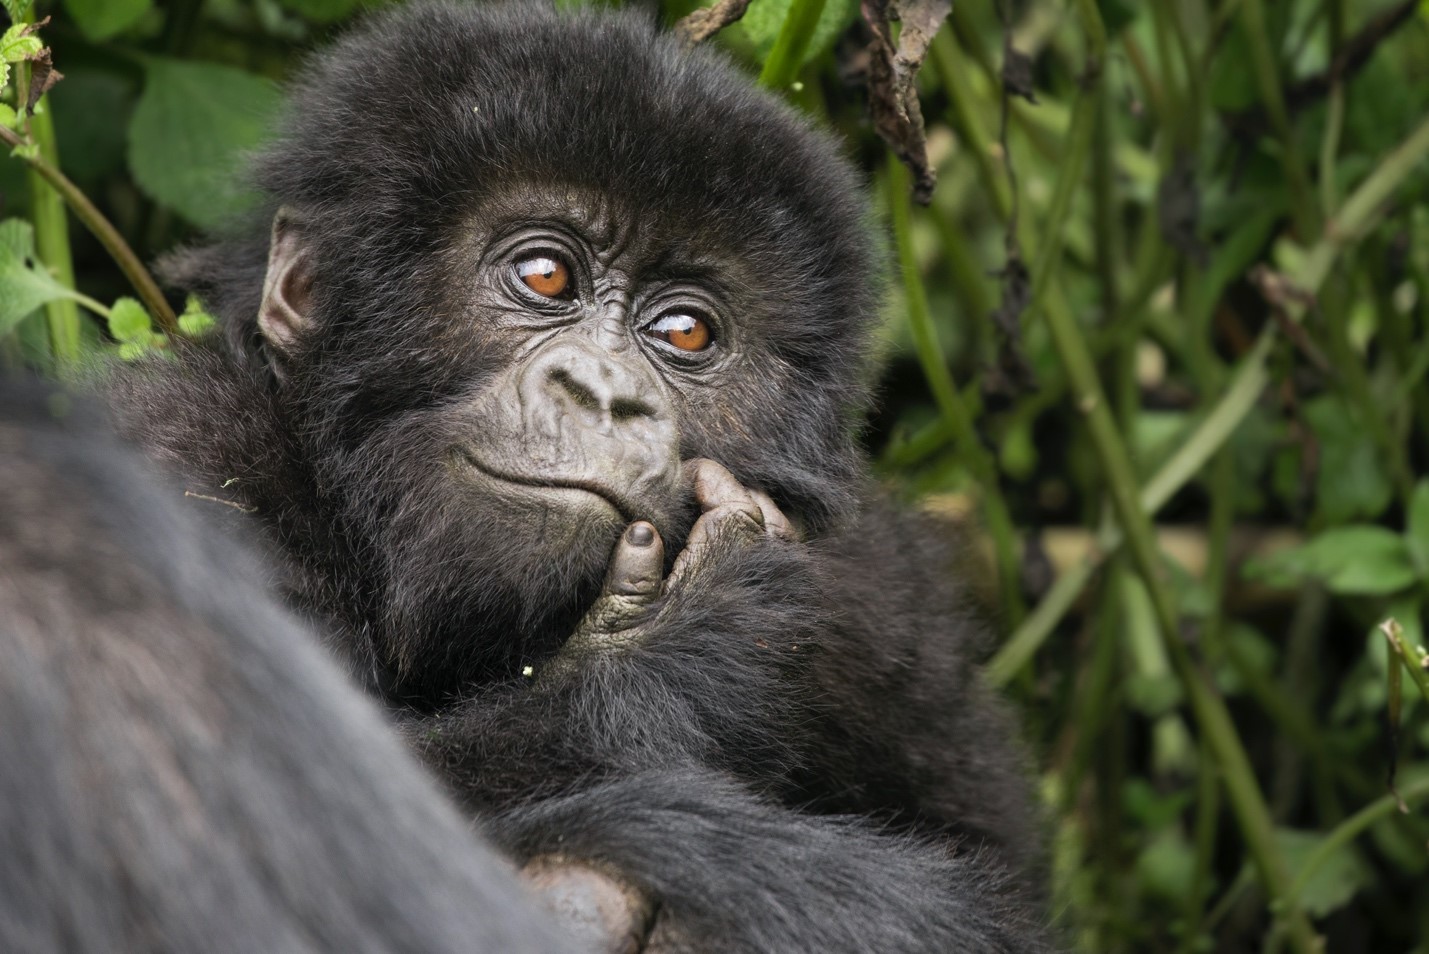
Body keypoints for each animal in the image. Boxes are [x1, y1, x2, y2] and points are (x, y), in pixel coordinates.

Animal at [111, 2, 1052, 950]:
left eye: (683, 331)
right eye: (545, 275)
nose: (603, 391)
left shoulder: (876, 591)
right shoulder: (184, 456)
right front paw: (695, 637)